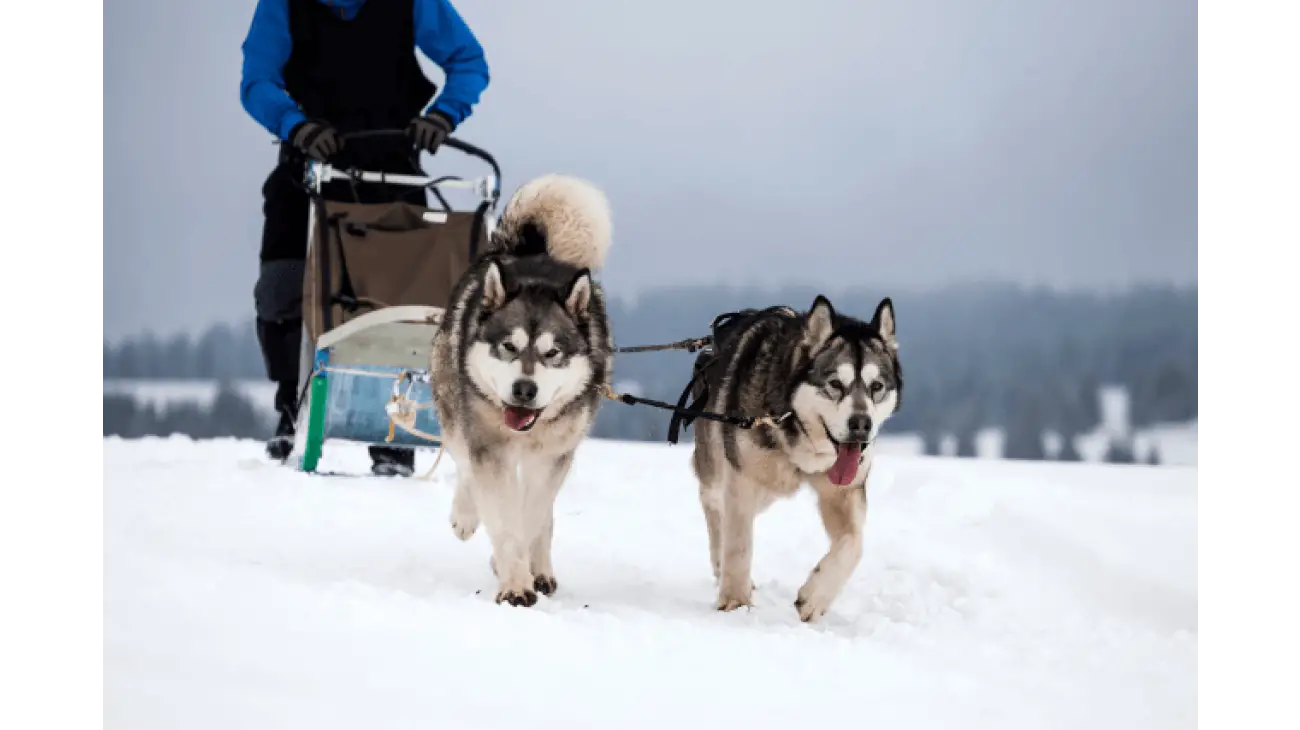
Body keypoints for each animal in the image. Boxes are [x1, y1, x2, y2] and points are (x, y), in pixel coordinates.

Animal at [431, 172, 613, 605]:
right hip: (455, 411)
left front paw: (520, 570)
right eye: (508, 347)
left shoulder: (550, 458)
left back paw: (541, 569)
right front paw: (514, 582)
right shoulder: (490, 450)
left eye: (552, 353)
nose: (524, 390)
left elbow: (531, 517)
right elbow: (503, 515)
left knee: (543, 514)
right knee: (465, 465)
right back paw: (466, 516)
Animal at [691, 293, 904, 618]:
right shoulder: (741, 481)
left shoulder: (842, 491)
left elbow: (854, 545)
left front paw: (815, 597)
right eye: (835, 384)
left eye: (876, 386)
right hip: (722, 469)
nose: (861, 424)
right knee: (714, 507)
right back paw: (720, 564)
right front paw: (736, 602)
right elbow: (738, 545)